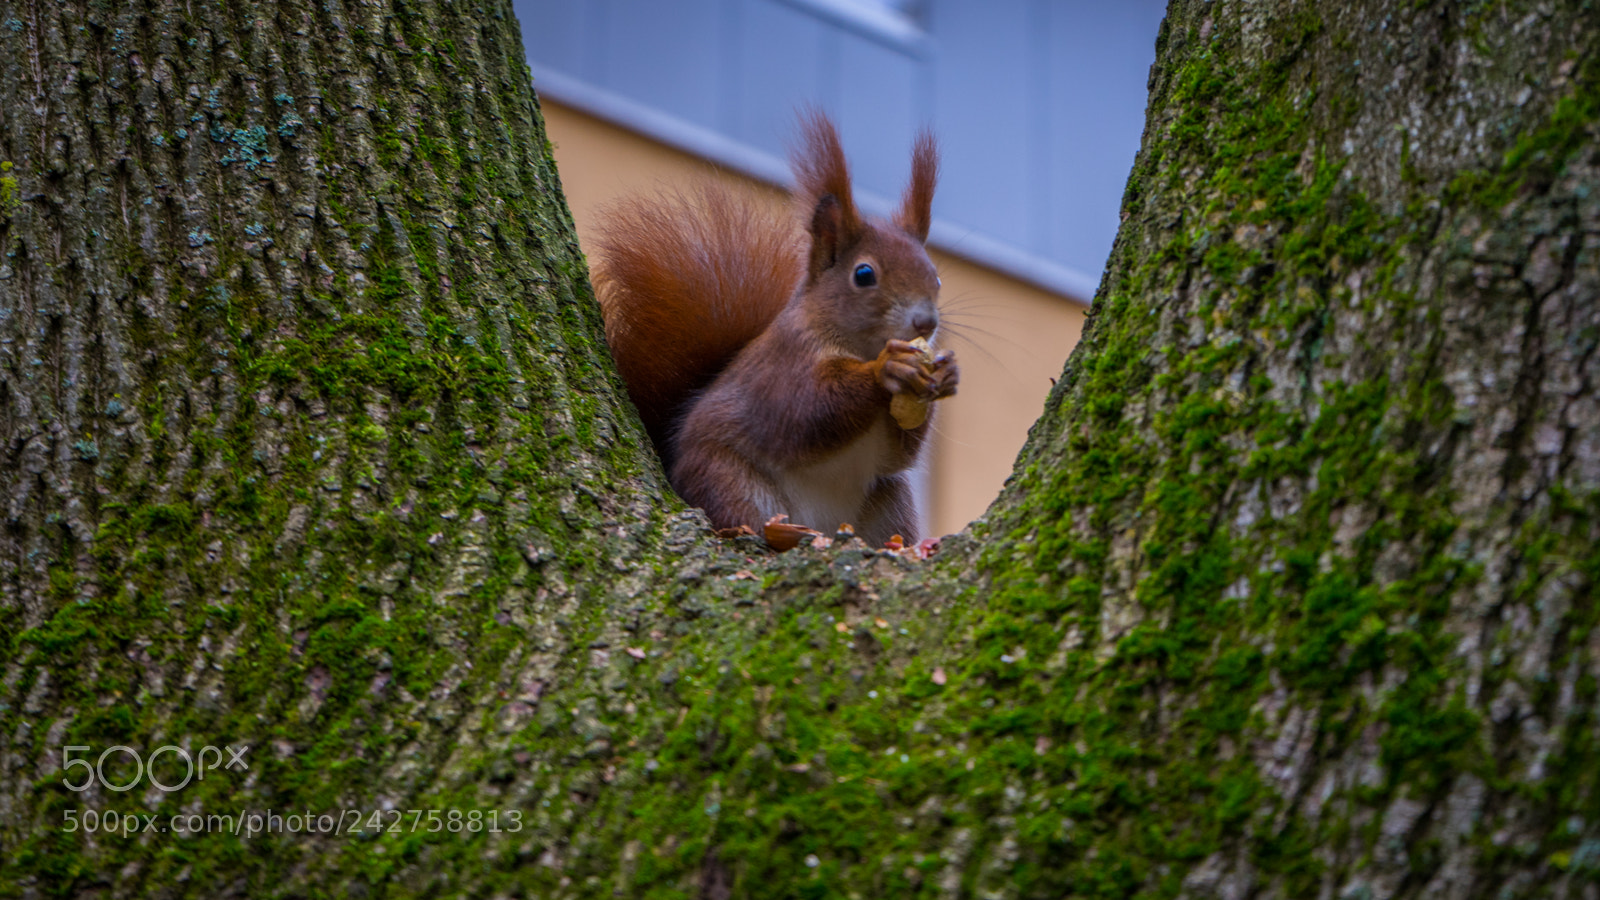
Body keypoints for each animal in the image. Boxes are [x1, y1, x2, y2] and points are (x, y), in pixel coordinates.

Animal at [592, 112, 958, 546]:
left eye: (936, 275)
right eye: (864, 274)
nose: (926, 322)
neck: (859, 346)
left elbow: (898, 453)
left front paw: (947, 374)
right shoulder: (783, 365)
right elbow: (803, 412)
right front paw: (886, 369)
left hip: (889, 501)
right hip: (726, 477)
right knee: (742, 515)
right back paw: (780, 531)